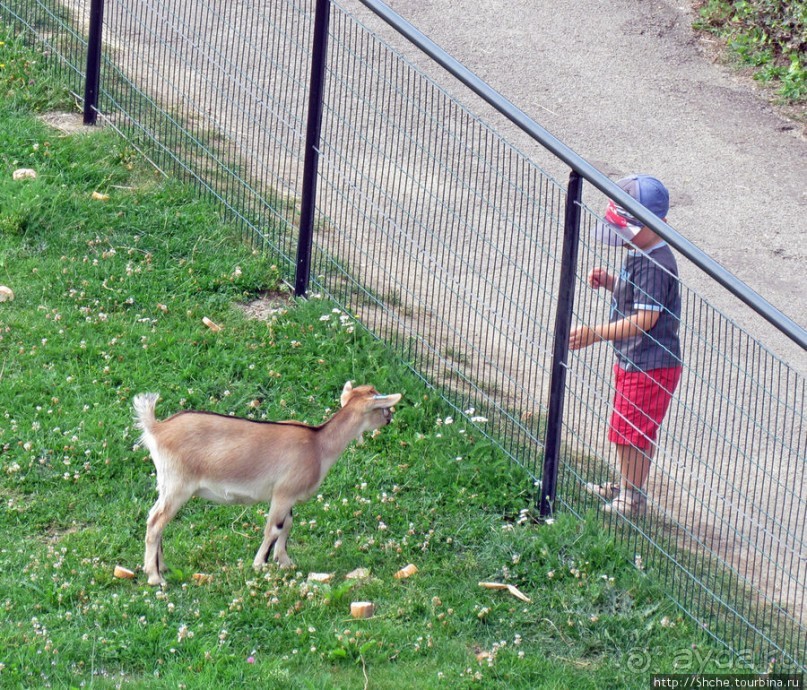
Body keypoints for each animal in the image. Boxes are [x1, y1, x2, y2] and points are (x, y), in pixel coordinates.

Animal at [133, 378, 404, 584]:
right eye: (382, 407)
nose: (390, 419)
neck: (319, 445)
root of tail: (156, 428)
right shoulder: (284, 492)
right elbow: (273, 528)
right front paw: (259, 564)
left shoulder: (287, 496)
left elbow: (287, 526)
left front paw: (285, 562)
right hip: (177, 485)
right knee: (155, 522)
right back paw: (155, 578)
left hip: (167, 485)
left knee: (156, 520)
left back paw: (161, 567)